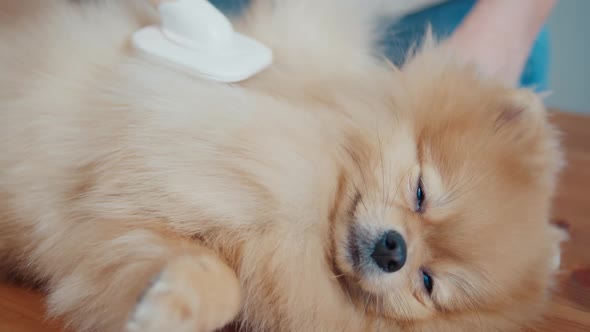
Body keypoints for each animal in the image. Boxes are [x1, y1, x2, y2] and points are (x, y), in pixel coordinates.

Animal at [0, 0, 568, 332]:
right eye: (421, 192)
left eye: (427, 283)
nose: (394, 250)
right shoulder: (296, 34)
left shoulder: (128, 235)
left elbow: (220, 284)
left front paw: (165, 310)